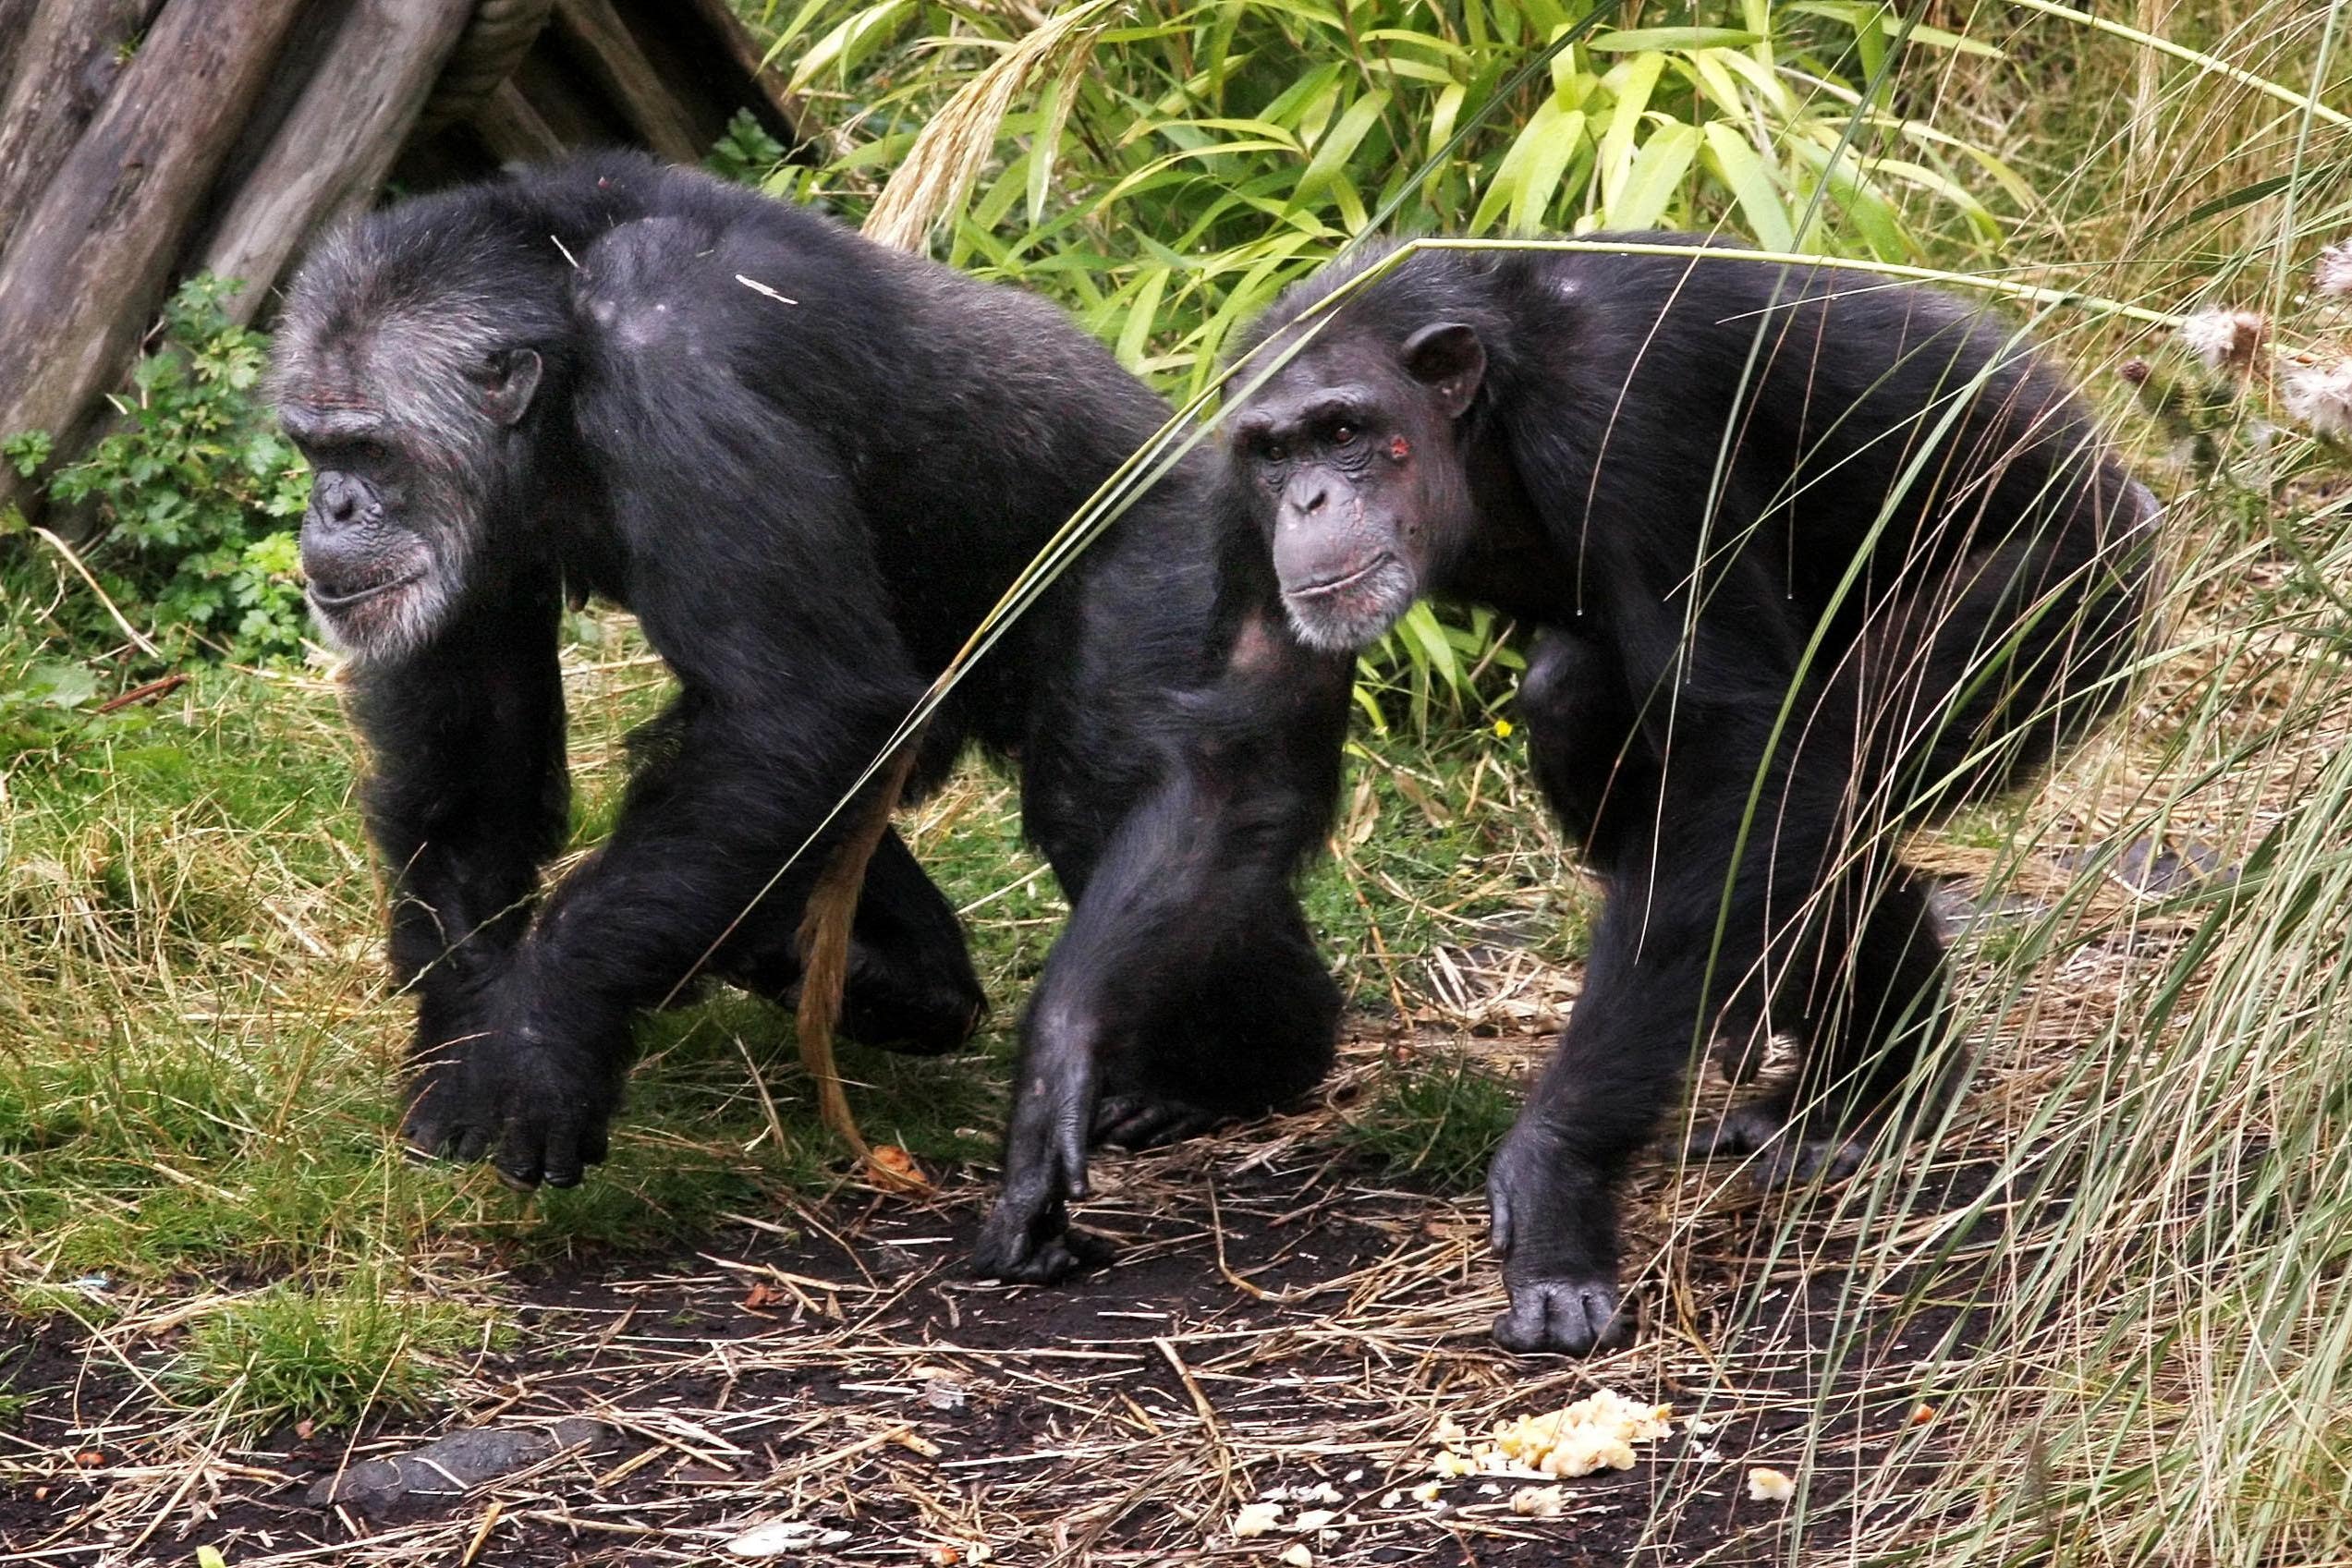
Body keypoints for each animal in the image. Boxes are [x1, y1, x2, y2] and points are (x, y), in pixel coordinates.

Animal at [266, 150, 1354, 1203]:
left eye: (367, 446)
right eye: (311, 445)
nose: (332, 505)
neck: (566, 344)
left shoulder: (678, 366)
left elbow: (793, 708)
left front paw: (544, 1038)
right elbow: (482, 756)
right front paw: (460, 1046)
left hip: (1180, 561)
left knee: (1105, 793)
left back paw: (1243, 1067)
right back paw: (893, 978)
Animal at [1213, 239, 2154, 1354]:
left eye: (1345, 431)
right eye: (1274, 452)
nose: (1308, 501)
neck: (1488, 413)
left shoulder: (1624, 415)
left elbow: (1736, 742)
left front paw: (1559, 1180)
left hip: (2063, 597)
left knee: (1833, 754)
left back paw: (1878, 1093)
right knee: (1598, 713)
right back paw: (1856, 1084)